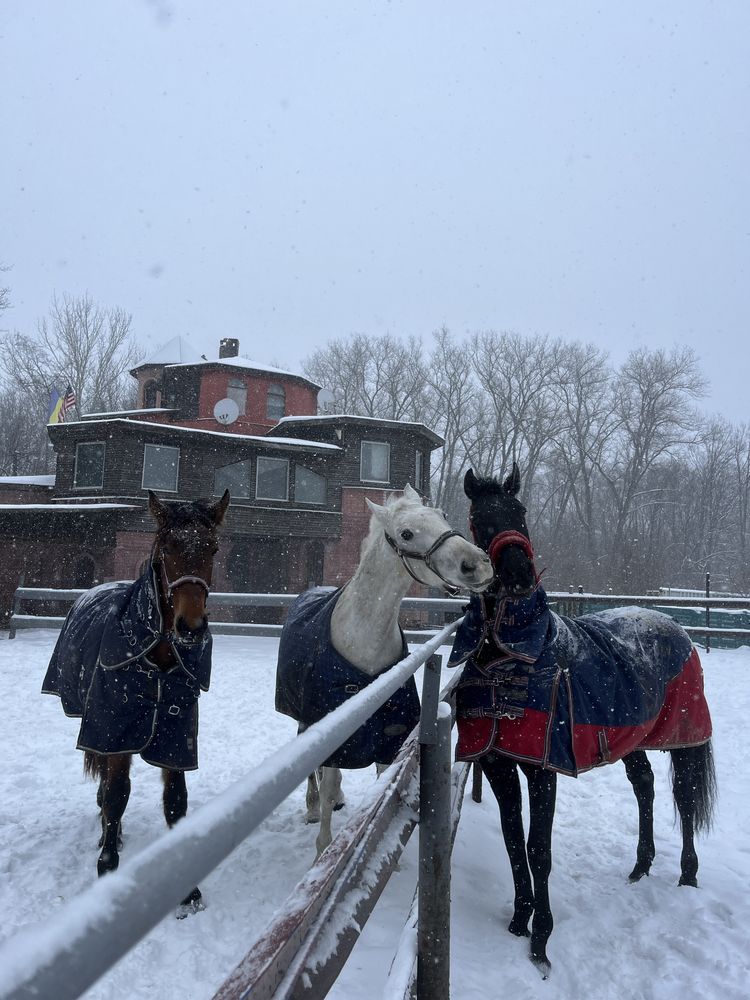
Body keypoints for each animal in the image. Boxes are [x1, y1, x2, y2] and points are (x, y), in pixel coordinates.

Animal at [40, 488, 228, 916]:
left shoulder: (176, 736)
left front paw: (188, 890)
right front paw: (107, 867)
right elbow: (116, 795)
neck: (156, 658)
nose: (191, 627)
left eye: (212, 548)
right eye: (168, 547)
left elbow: (176, 802)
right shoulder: (114, 729)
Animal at [274, 480, 496, 856]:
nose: (477, 564)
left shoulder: (389, 734)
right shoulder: (332, 726)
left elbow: (383, 786)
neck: (363, 637)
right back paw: (312, 807)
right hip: (305, 716)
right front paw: (324, 846)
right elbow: (328, 782)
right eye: (406, 533)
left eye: (441, 514)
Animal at [450, 468, 720, 976]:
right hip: (634, 742)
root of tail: (676, 627)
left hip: (684, 737)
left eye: (520, 512)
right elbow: (513, 840)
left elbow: (538, 849)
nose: (518, 575)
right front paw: (518, 919)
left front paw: (541, 941)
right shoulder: (498, 764)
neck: (514, 658)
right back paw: (640, 866)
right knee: (645, 788)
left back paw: (688, 875)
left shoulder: (543, 768)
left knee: (684, 796)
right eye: (480, 518)